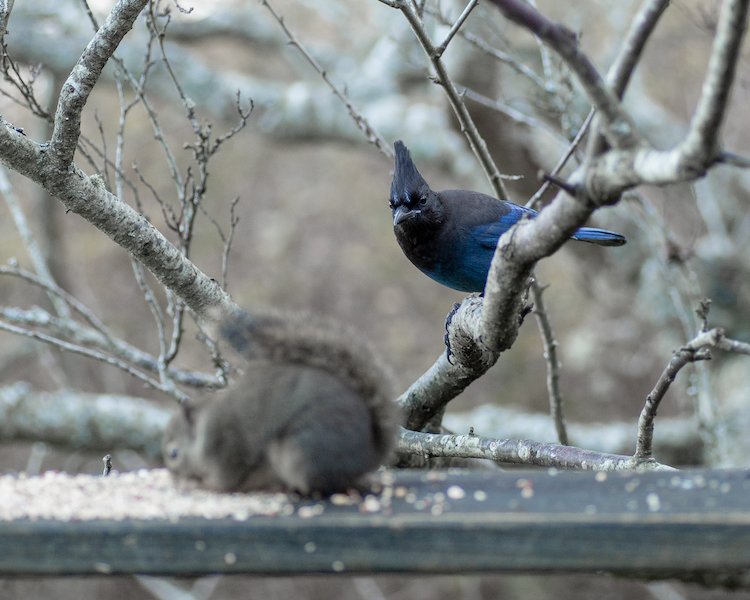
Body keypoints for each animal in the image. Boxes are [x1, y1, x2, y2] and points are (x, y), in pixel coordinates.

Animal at [163, 307, 400, 495]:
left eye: (174, 454)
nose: (173, 478)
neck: (204, 427)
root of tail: (371, 454)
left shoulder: (227, 447)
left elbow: (225, 481)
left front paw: (202, 486)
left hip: (299, 453)